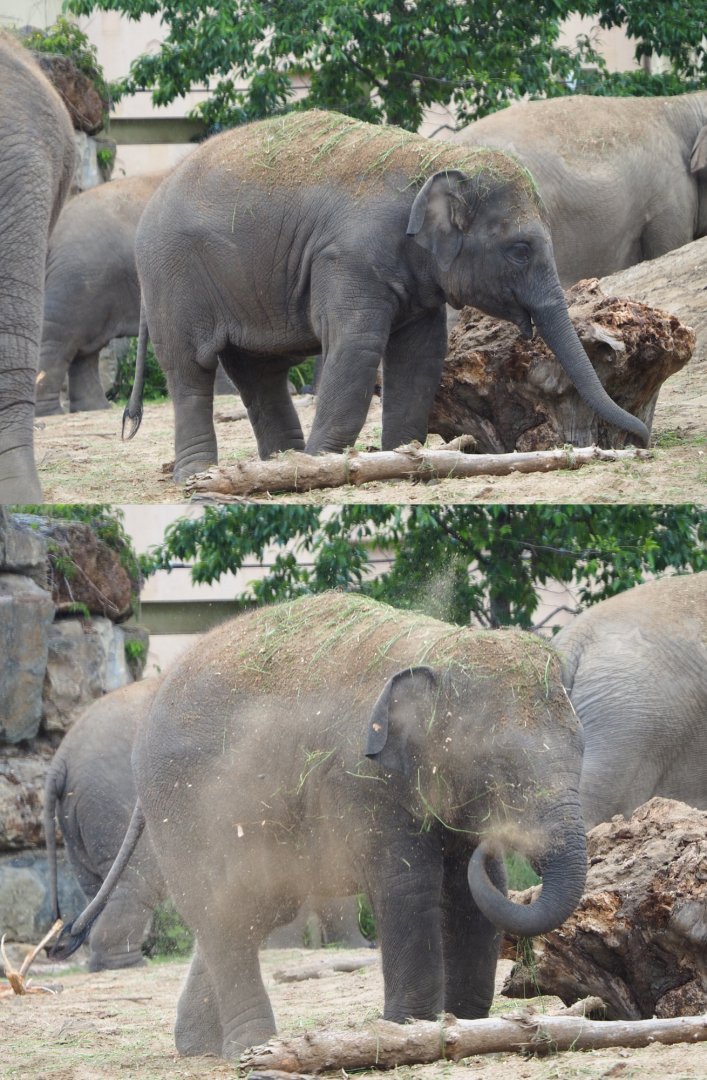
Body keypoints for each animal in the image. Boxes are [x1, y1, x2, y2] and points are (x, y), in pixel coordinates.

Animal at [44, 676, 370, 970]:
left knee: (96, 888)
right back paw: (130, 965)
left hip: (80, 819)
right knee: (136, 883)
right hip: (113, 803)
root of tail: (61, 759)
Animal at [123, 108, 648, 482]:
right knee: (191, 368)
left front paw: (402, 457)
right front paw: (328, 463)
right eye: (520, 250)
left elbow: (421, 355)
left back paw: (280, 465)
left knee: (260, 373)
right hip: (173, 281)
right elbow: (356, 346)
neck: (433, 159)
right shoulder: (349, 258)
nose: (642, 440)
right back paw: (202, 474)